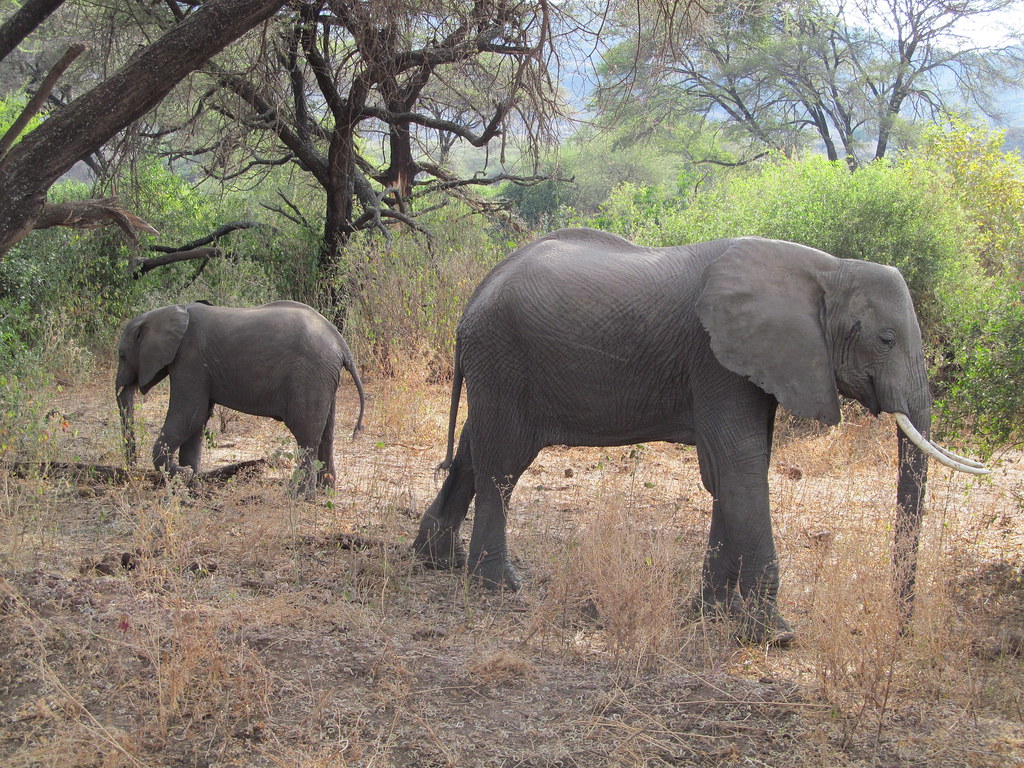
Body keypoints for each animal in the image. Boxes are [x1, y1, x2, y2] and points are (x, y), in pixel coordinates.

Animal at [115, 300, 366, 497]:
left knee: (306, 436)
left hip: (309, 374)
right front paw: (193, 489)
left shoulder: (189, 359)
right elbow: (196, 422)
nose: (132, 472)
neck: (169, 311)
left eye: (122, 356)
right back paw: (325, 492)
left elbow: (189, 415)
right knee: (326, 434)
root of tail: (341, 344)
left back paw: (298, 498)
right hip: (323, 376)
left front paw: (184, 476)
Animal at [413, 228, 987, 643]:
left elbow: (726, 471)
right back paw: (498, 586)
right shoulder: (718, 360)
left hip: (497, 365)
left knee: (473, 446)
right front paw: (772, 635)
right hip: (504, 356)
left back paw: (436, 560)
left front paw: (709, 612)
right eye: (886, 339)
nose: (900, 632)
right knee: (503, 462)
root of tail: (474, 297)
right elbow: (740, 464)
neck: (827, 269)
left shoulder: (746, 364)